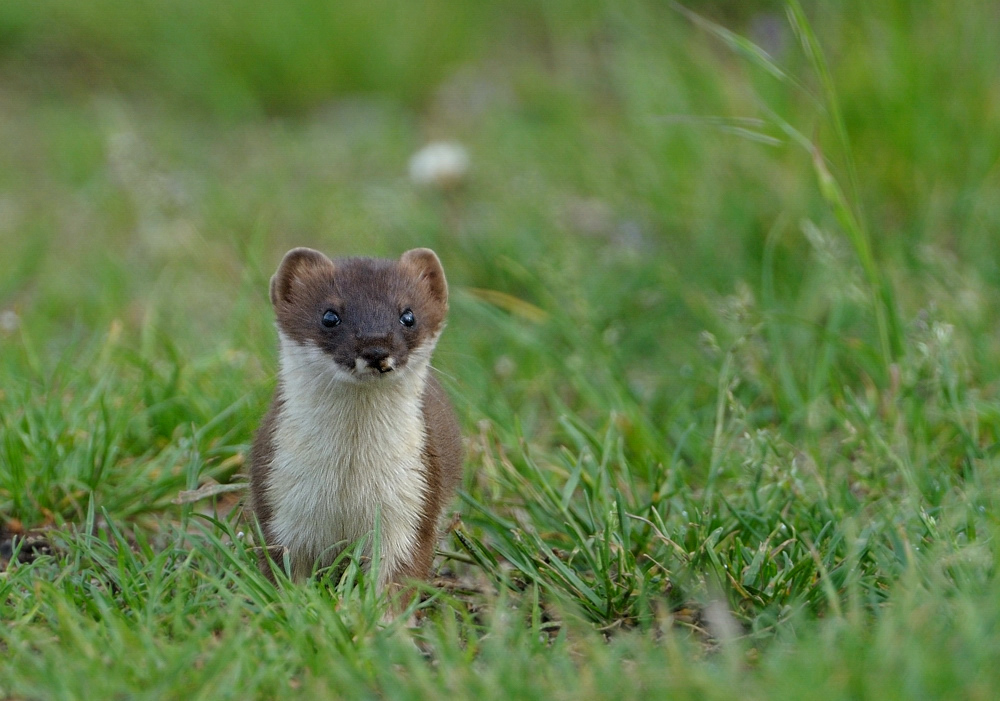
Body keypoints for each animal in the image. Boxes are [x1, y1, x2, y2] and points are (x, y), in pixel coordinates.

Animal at [252, 246, 466, 592]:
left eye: (408, 315)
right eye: (329, 315)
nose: (375, 347)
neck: (350, 477)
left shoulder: (412, 503)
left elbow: (400, 573)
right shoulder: (279, 500)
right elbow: (283, 568)